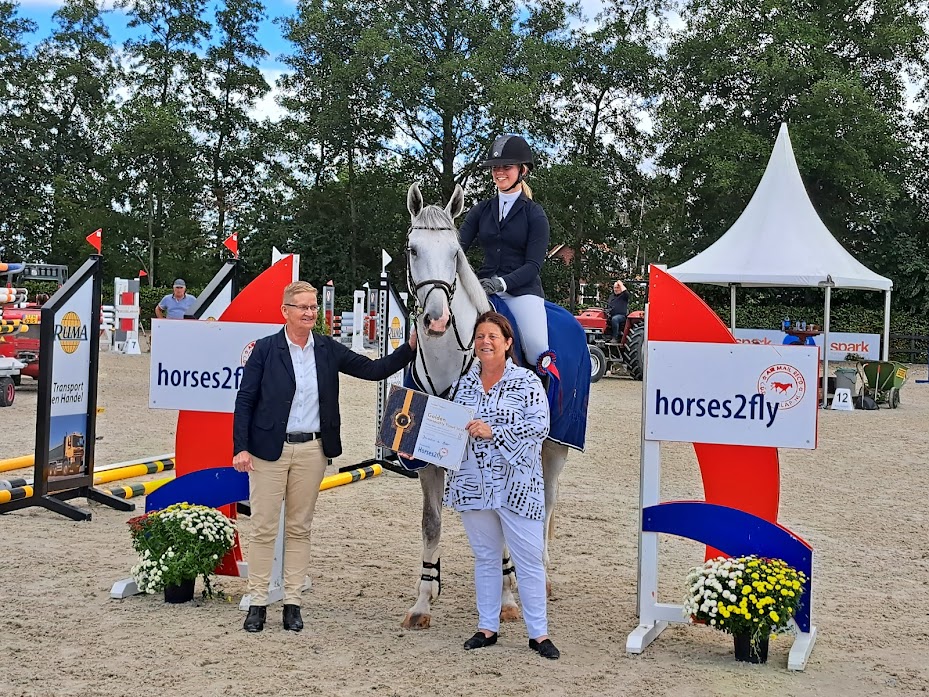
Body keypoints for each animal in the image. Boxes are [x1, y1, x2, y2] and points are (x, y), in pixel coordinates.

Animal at [400, 182, 568, 628]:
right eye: (412, 249)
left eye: (454, 253)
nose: (436, 321)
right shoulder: (425, 453)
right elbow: (431, 523)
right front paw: (423, 601)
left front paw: (507, 600)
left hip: (555, 446)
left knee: (545, 505)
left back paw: (541, 576)